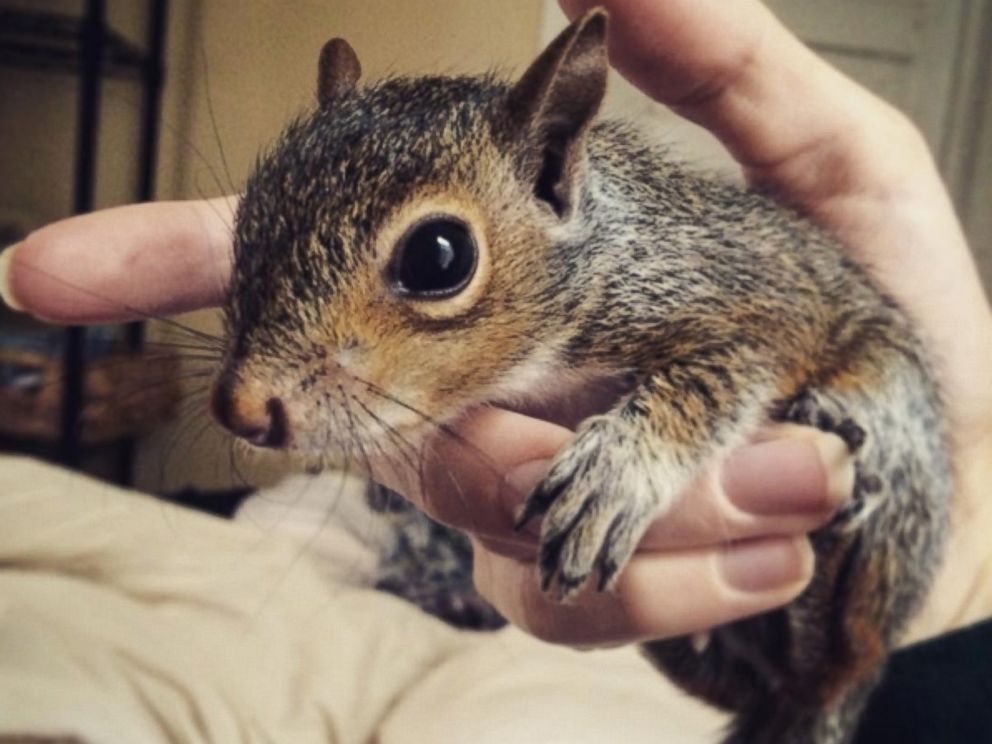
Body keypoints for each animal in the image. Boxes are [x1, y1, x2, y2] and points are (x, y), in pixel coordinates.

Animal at [211, 10, 952, 744]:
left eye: (438, 256)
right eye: (247, 220)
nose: (241, 409)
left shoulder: (747, 308)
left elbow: (714, 382)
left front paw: (616, 471)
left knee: (845, 635)